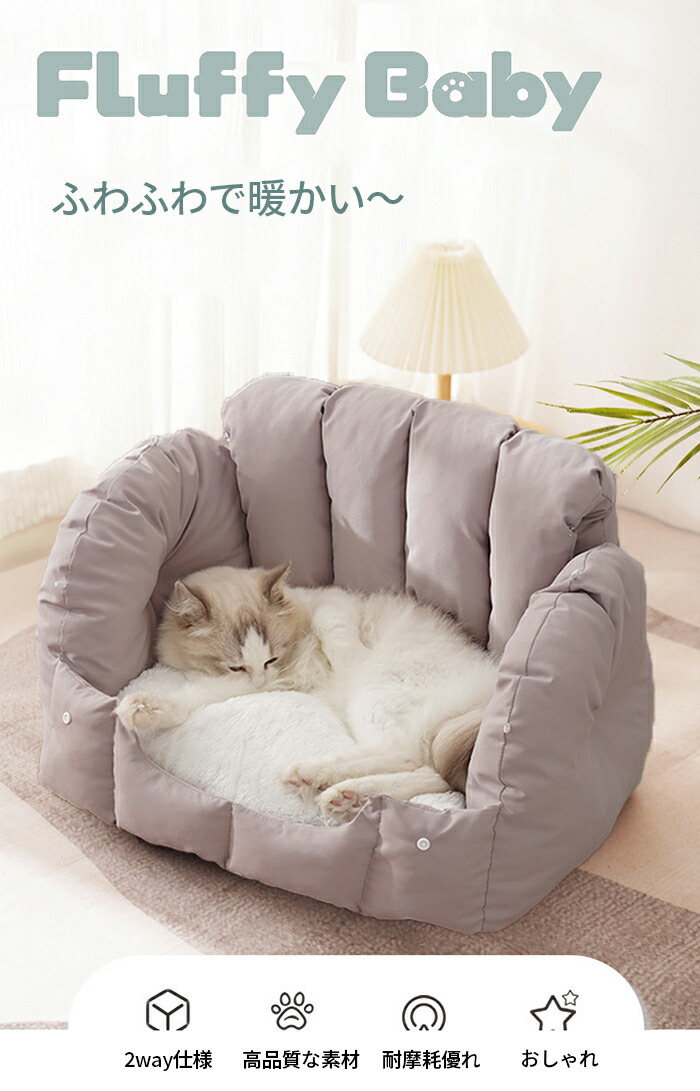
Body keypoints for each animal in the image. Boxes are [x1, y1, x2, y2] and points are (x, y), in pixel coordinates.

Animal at [116, 564, 499, 821]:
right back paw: (343, 794)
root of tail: (490, 686)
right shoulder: (234, 682)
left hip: (377, 694)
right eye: (237, 666)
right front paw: (141, 709)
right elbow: (186, 697)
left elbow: (332, 626)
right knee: (428, 772)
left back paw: (315, 775)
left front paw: (350, 658)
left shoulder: (332, 601)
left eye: (272, 656)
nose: (262, 682)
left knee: (406, 755)